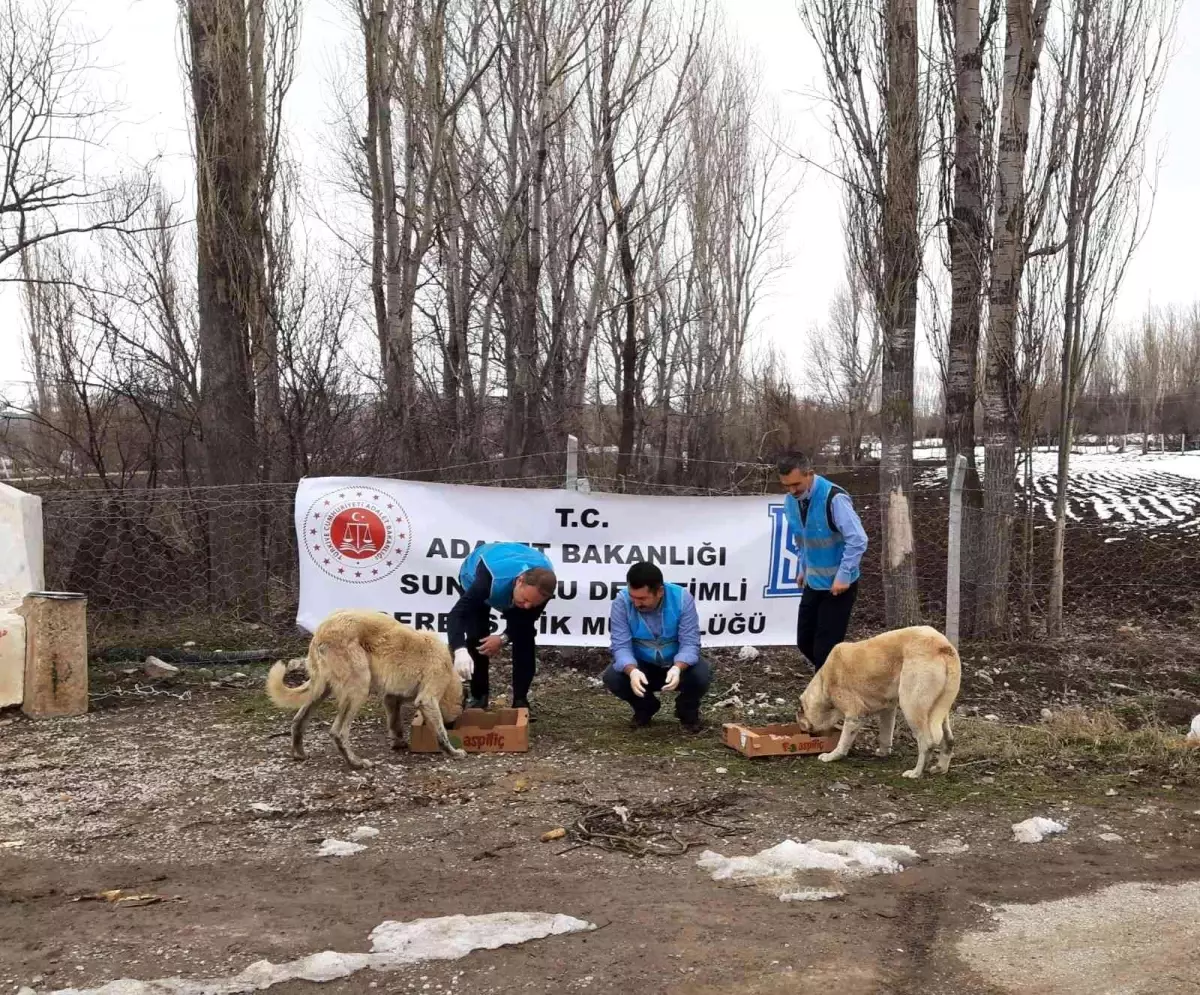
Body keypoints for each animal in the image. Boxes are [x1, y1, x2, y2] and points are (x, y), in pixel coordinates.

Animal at [265, 604, 465, 768]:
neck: (450, 674)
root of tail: (322, 630)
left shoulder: (391, 698)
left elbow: (395, 724)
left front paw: (398, 743)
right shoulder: (427, 698)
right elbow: (440, 732)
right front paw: (453, 752)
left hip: (321, 690)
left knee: (298, 721)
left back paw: (299, 754)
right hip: (359, 689)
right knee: (338, 733)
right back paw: (356, 763)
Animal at [801, 624, 960, 782]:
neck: (824, 682)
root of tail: (943, 646)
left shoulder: (854, 716)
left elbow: (843, 742)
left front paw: (832, 756)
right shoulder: (888, 709)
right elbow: (885, 734)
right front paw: (883, 752)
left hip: (911, 708)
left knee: (927, 743)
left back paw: (915, 773)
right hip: (938, 712)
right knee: (949, 740)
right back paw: (940, 768)